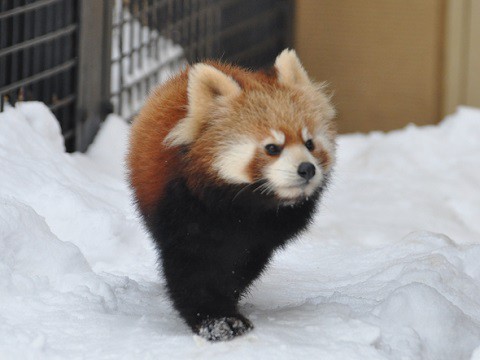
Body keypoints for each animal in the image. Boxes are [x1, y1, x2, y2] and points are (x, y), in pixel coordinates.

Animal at [127, 48, 338, 340]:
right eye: (272, 148)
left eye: (309, 144)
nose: (307, 169)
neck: (245, 210)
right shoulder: (183, 210)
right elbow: (193, 269)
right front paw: (218, 320)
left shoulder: (263, 238)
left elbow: (241, 267)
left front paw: (229, 302)